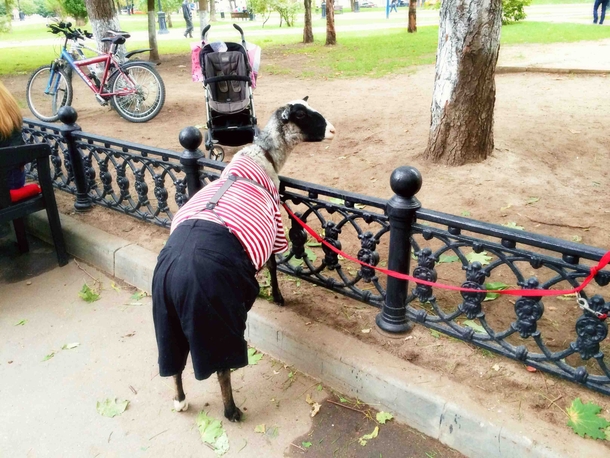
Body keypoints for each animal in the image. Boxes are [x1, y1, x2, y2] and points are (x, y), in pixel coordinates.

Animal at [151, 97, 332, 422]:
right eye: (304, 116)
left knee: (173, 362)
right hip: (212, 316)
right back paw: (231, 410)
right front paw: (278, 298)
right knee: (221, 366)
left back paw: (180, 399)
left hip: (165, 315)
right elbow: (273, 265)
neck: (261, 156)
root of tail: (175, 276)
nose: (333, 129)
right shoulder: (275, 230)